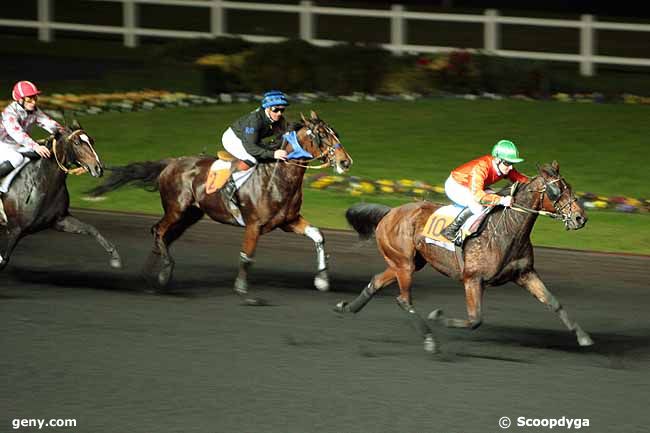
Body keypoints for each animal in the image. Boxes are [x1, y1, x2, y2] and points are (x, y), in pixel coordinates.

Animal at [0, 121, 121, 268]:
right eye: (76, 143)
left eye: (91, 141)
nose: (98, 168)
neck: (40, 184)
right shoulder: (15, 230)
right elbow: (4, 259)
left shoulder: (59, 220)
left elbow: (91, 228)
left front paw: (114, 256)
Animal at [89, 111, 352, 298]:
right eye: (322, 135)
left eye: (336, 133)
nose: (345, 162)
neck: (276, 177)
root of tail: (170, 163)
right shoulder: (254, 225)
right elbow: (247, 254)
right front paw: (241, 288)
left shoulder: (289, 221)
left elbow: (318, 236)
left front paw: (322, 280)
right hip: (176, 209)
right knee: (158, 231)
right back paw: (164, 273)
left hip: (190, 216)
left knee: (164, 238)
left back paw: (149, 278)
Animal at [336, 161, 588, 352]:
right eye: (557, 191)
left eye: (570, 186)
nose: (580, 218)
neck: (506, 229)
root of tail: (390, 213)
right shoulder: (472, 279)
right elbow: (475, 319)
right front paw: (438, 316)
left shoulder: (524, 273)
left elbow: (554, 303)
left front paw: (583, 337)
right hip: (404, 264)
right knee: (404, 299)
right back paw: (430, 340)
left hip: (408, 263)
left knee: (377, 281)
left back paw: (347, 307)